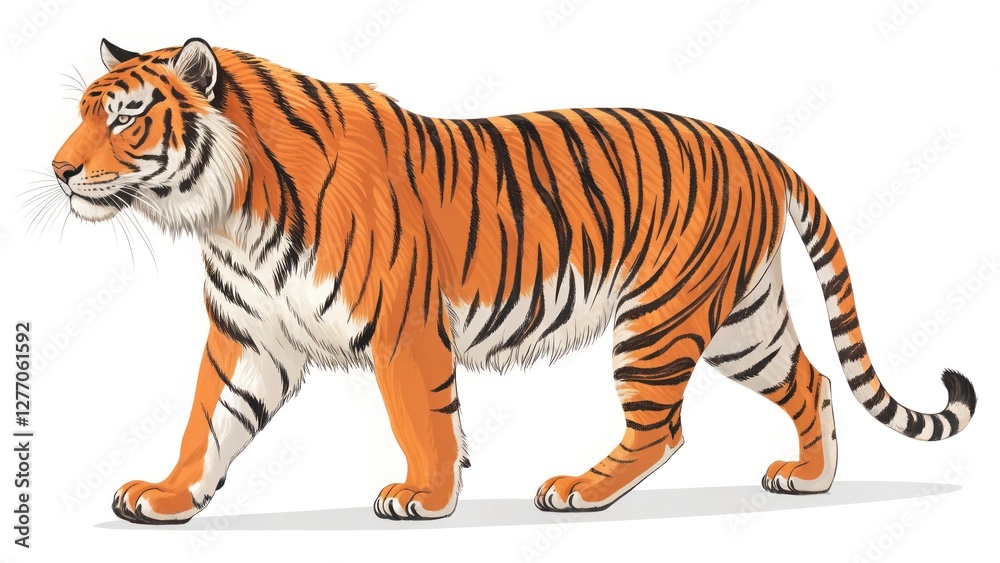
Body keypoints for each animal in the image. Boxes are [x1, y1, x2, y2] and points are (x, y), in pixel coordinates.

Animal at [50, 38, 977, 524]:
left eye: (125, 118)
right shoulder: (251, 334)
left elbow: (422, 419)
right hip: (742, 320)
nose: (58, 170)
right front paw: (167, 495)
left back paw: (579, 489)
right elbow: (209, 421)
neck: (230, 211)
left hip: (659, 318)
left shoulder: (404, 327)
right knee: (812, 381)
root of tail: (758, 148)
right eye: (83, 113)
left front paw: (424, 495)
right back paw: (809, 478)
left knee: (663, 428)